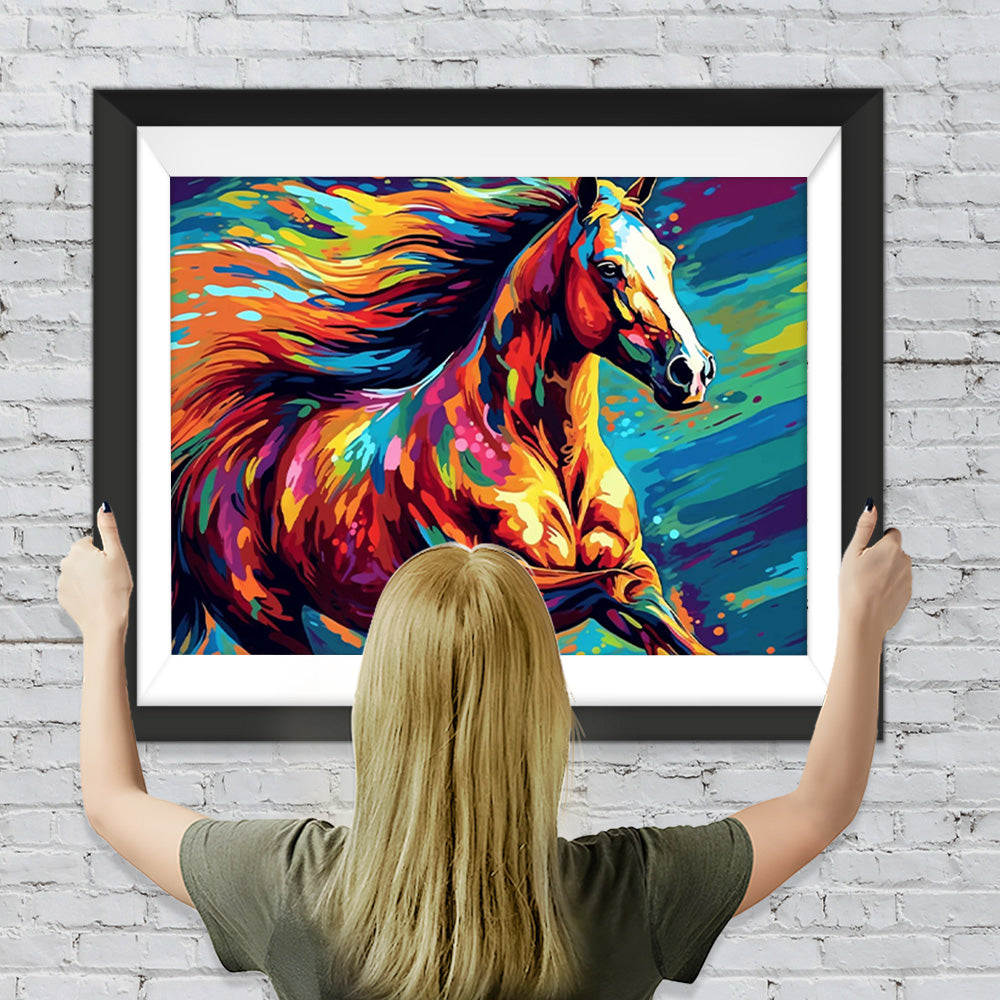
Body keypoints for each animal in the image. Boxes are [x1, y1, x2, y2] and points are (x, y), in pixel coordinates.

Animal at [170, 176, 717, 656]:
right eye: (607, 267)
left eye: (667, 259)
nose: (691, 370)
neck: (537, 444)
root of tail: (210, 452)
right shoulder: (510, 580)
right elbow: (626, 592)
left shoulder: (626, 563)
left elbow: (650, 606)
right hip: (268, 623)